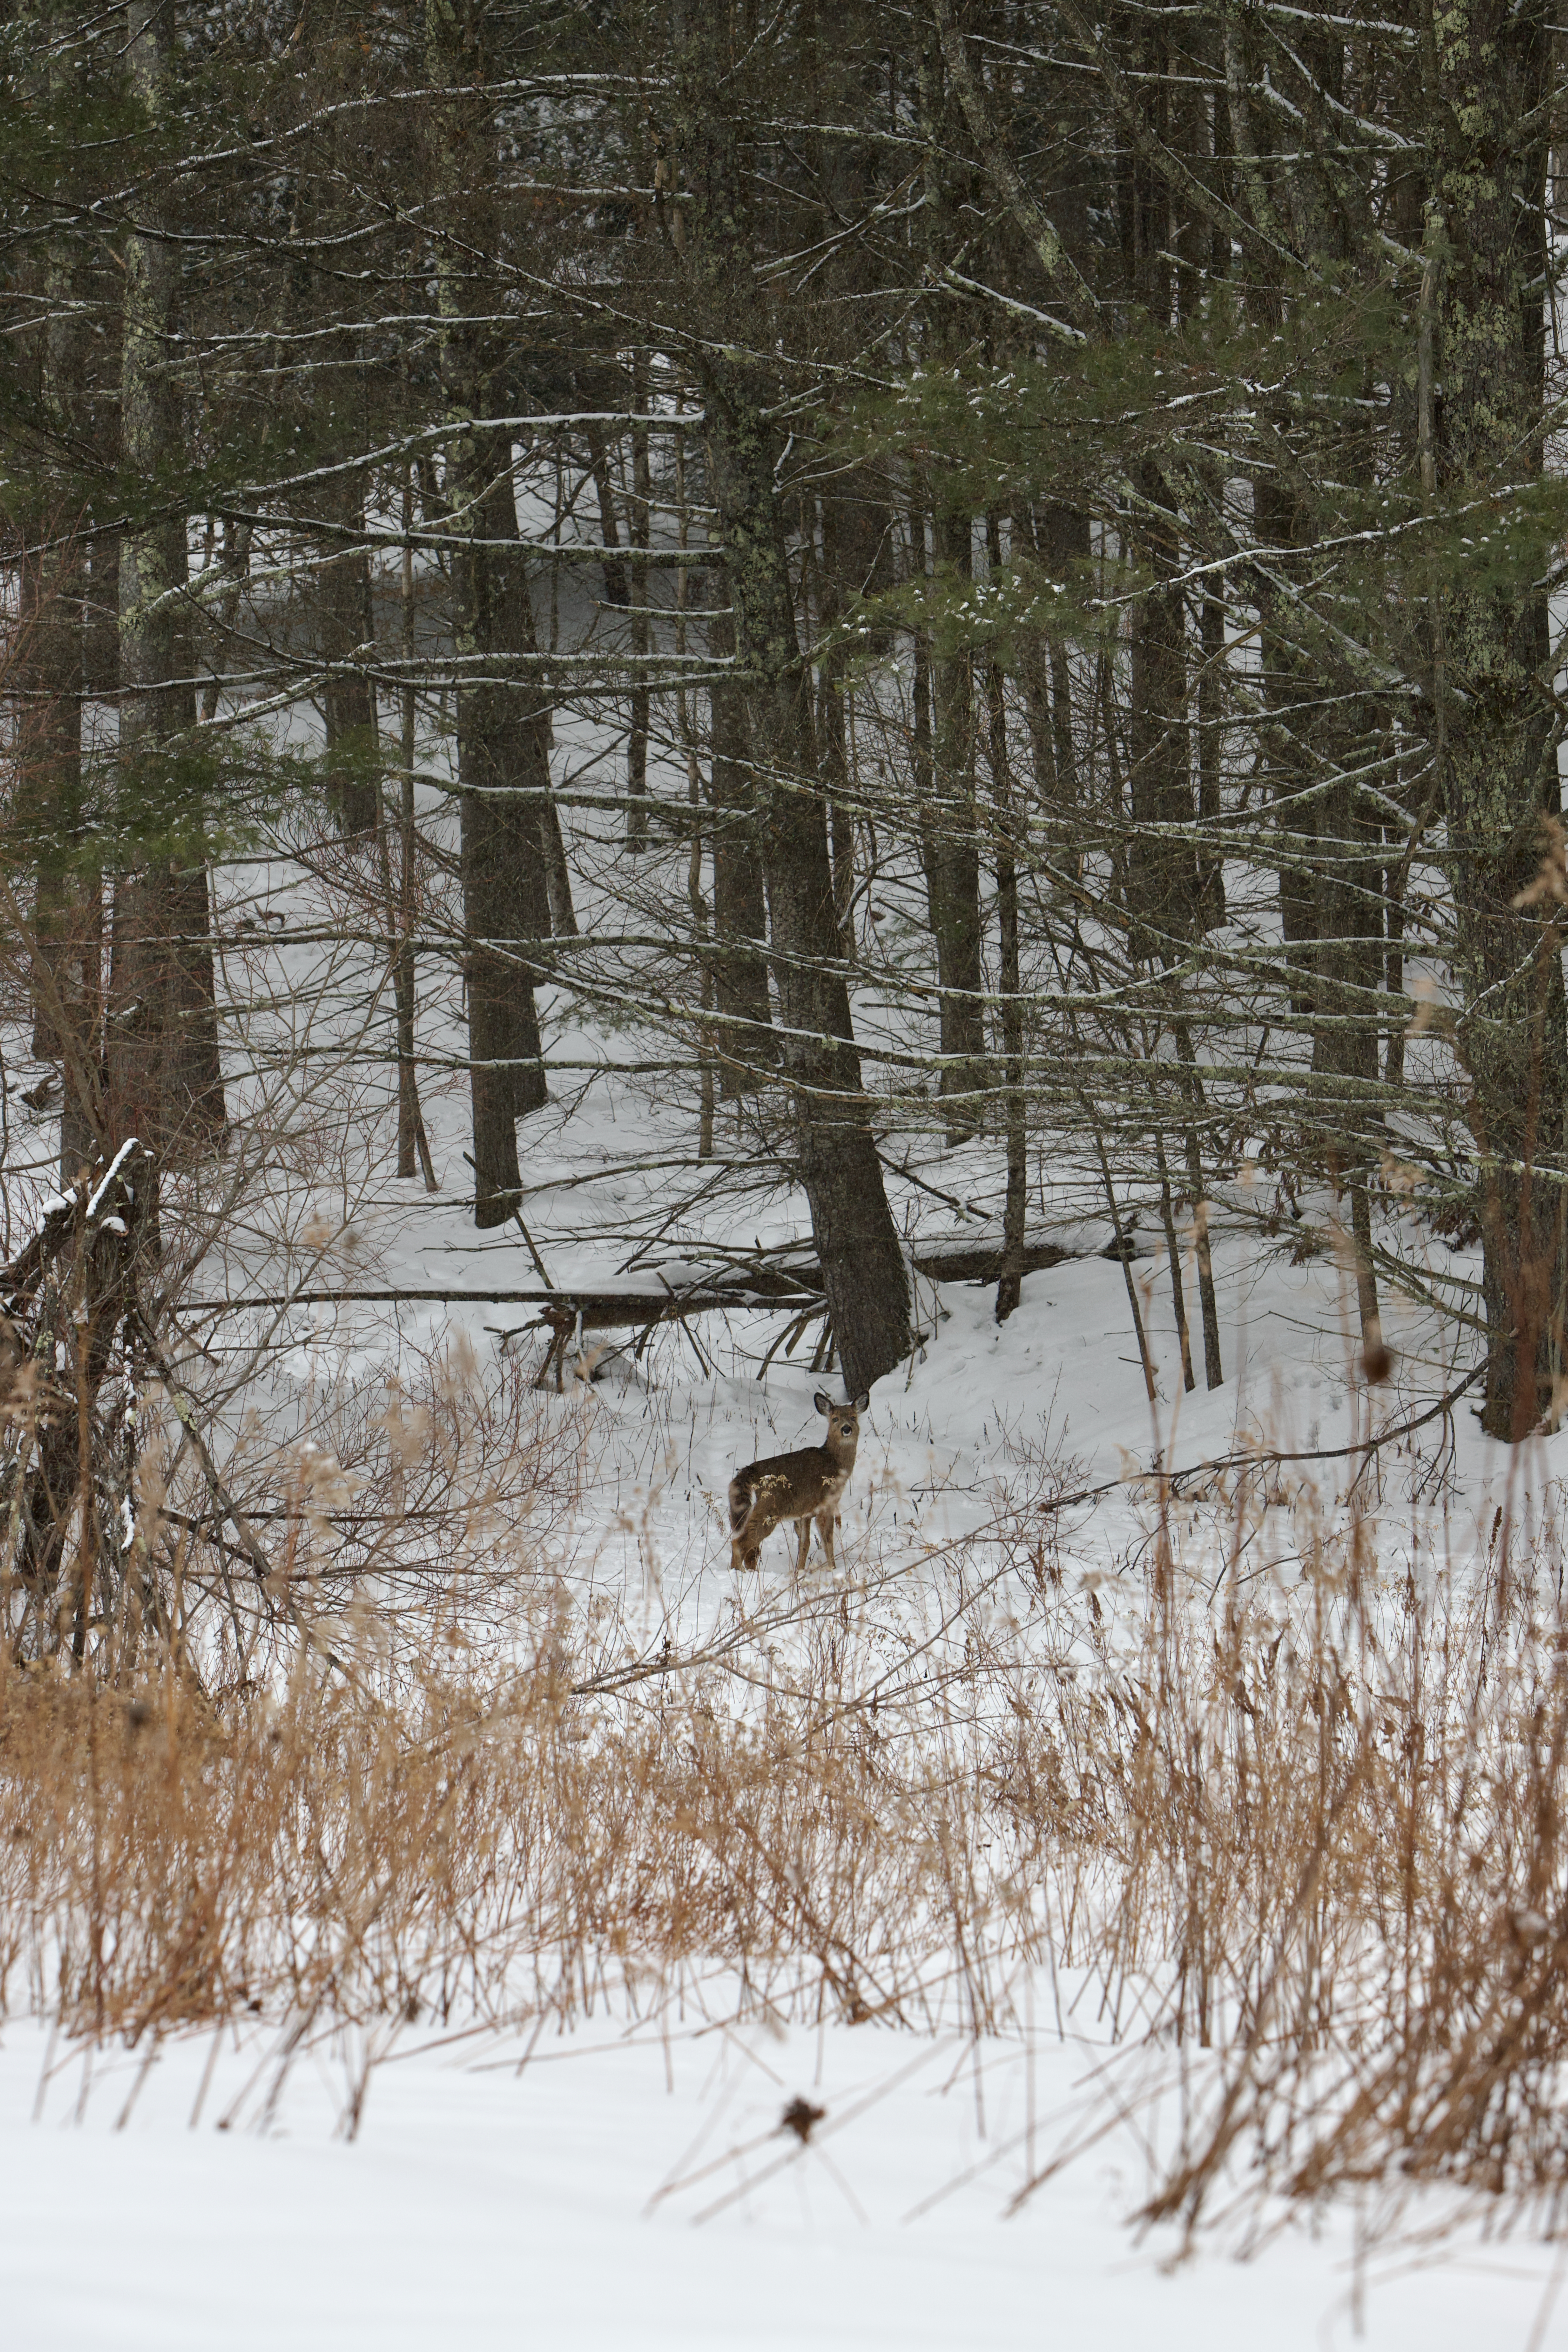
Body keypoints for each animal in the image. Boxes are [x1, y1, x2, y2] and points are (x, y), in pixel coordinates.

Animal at [728, 1390, 869, 1573]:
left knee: (747, 1546)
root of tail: (752, 1471)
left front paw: (800, 1571)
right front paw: (833, 1569)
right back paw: (740, 1573)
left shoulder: (805, 1513)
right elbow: (827, 1540)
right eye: (835, 1418)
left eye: (853, 1417)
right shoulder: (826, 1504)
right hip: (770, 1507)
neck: (835, 1463)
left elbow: (805, 1544)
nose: (846, 1429)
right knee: (741, 1541)